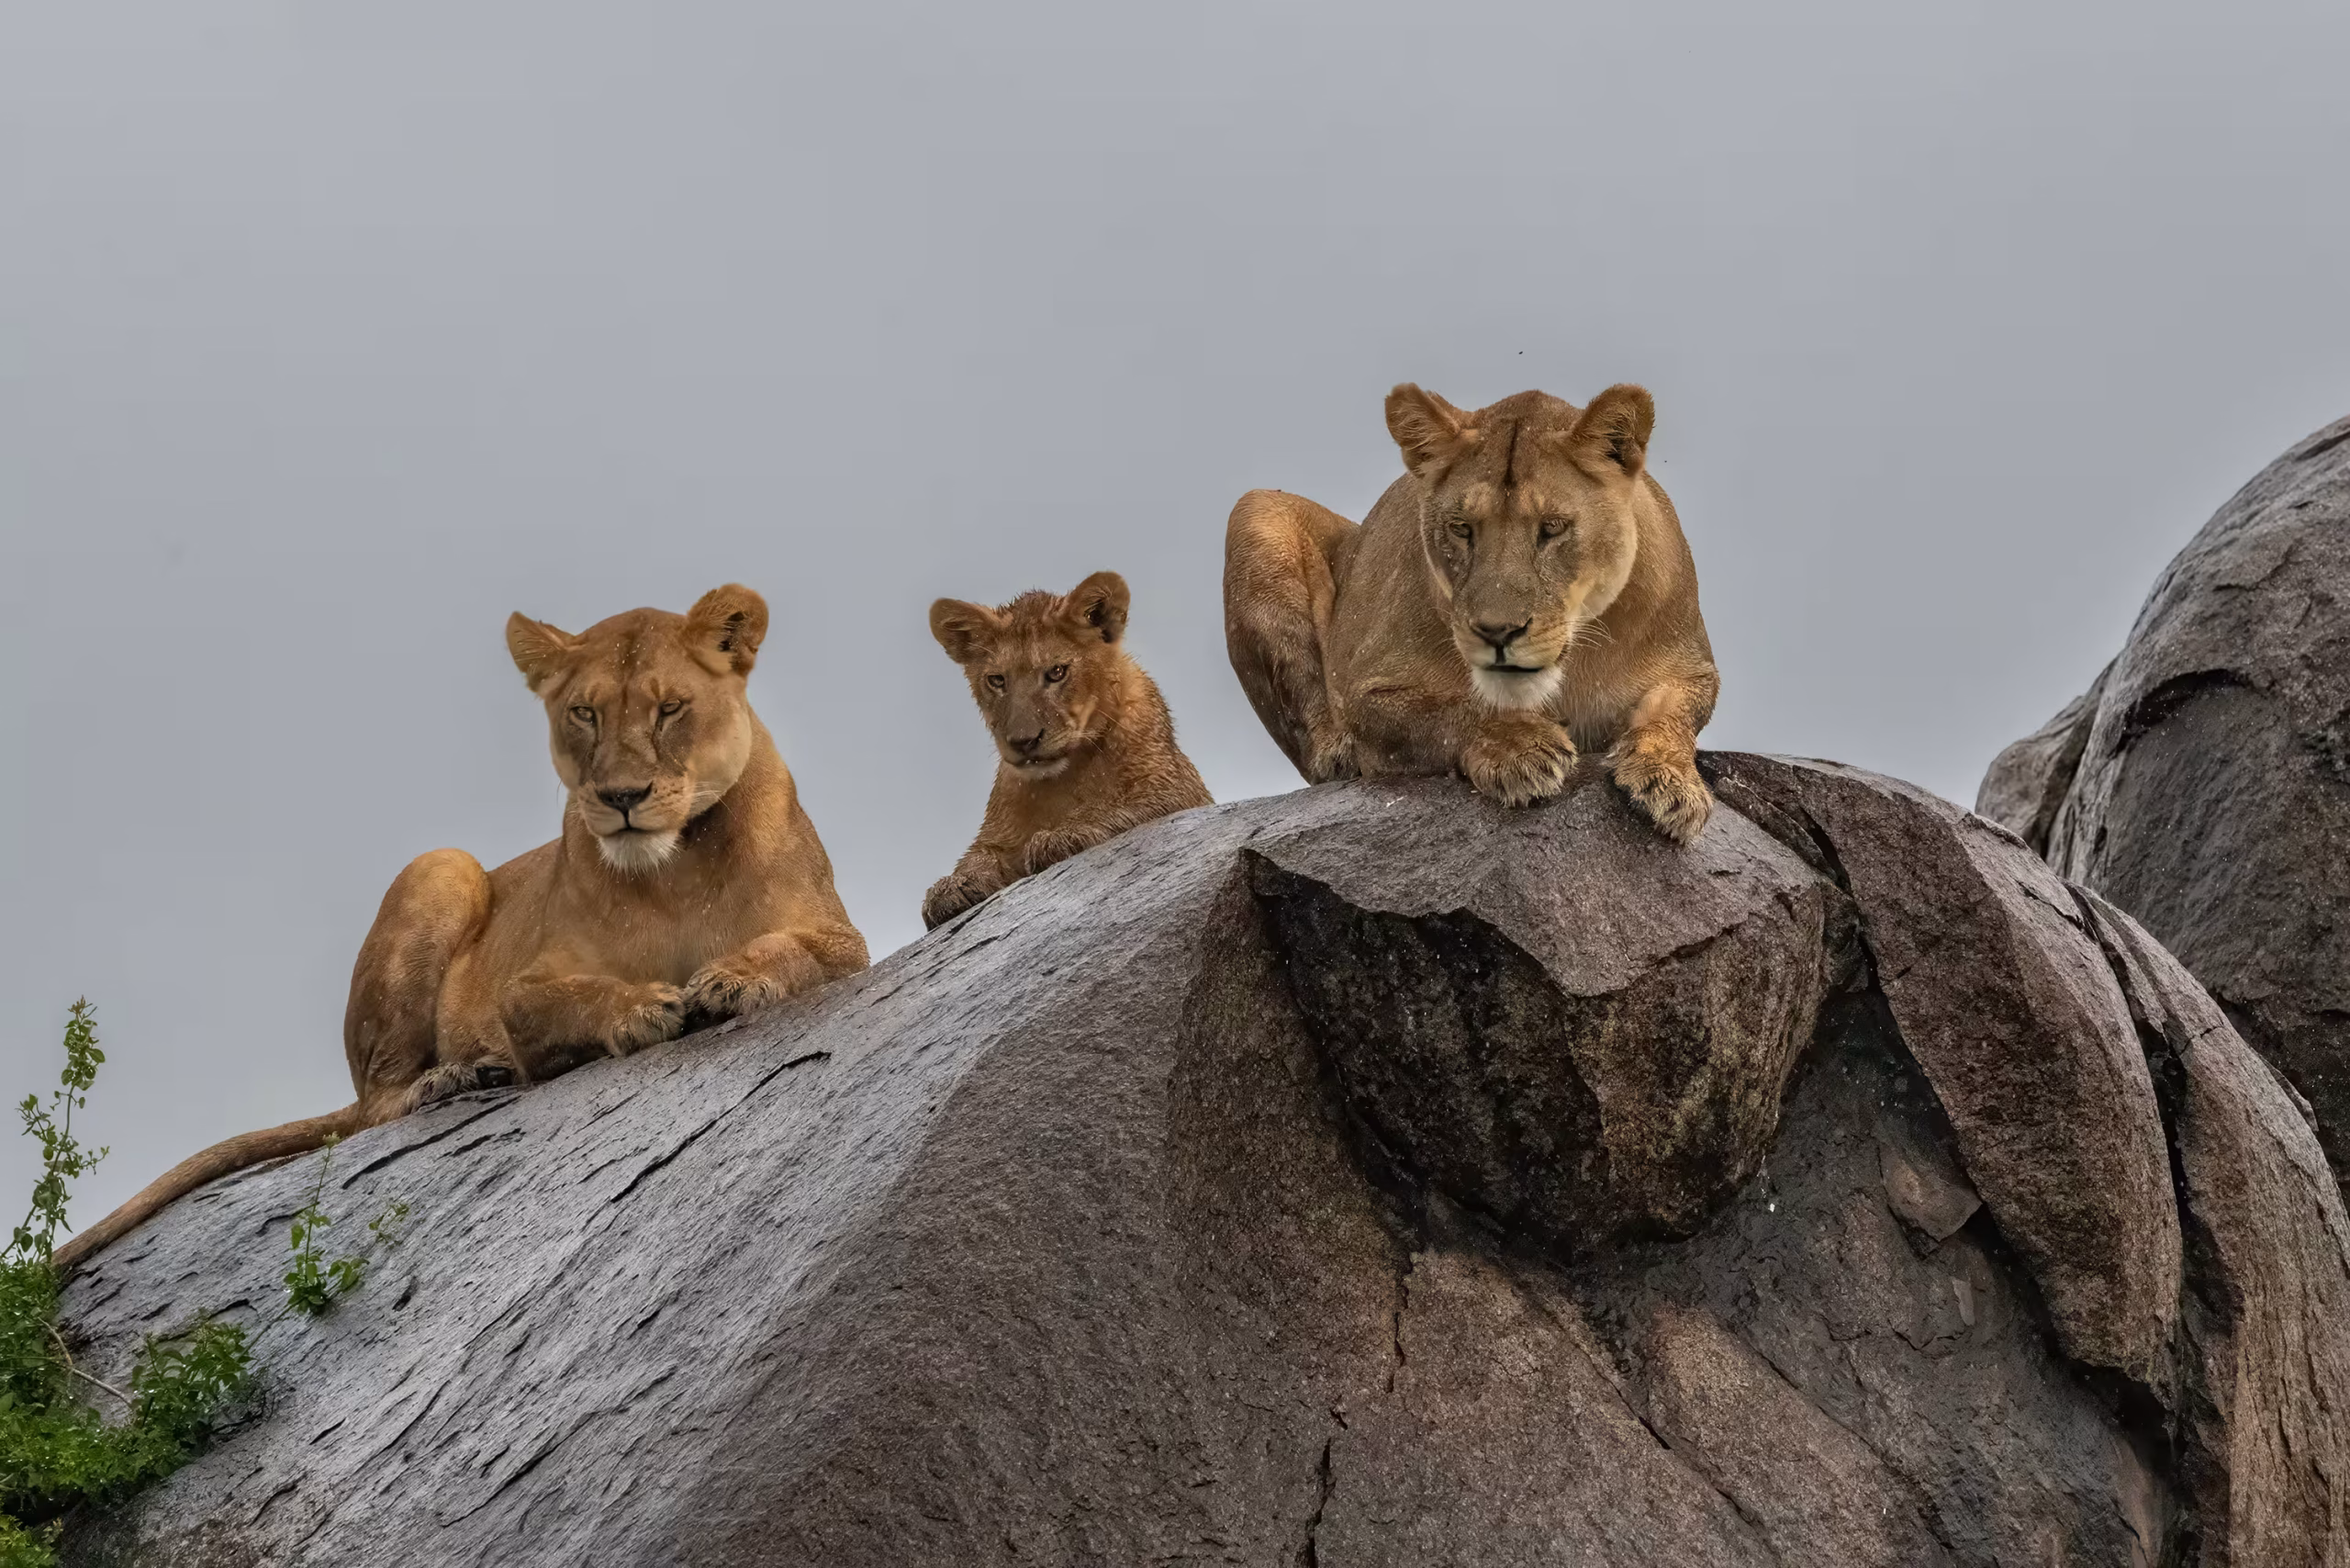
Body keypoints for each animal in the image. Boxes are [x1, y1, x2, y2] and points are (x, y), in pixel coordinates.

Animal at [55, 585, 868, 1271]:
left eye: (670, 708)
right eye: (585, 714)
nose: (622, 797)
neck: (677, 870)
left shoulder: (842, 937)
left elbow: (791, 949)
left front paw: (733, 979)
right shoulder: (525, 988)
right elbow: (572, 997)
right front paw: (642, 1009)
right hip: (443, 866)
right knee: (375, 1106)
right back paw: (456, 1078)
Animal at [921, 570, 1213, 929]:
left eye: (1057, 672)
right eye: (997, 680)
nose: (1023, 742)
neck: (1065, 776)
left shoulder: (1178, 789)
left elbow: (1121, 808)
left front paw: (1061, 836)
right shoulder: (997, 835)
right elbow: (979, 856)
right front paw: (953, 886)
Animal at [1224, 383, 1719, 841]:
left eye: (1553, 527)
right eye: (1461, 528)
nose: (1497, 632)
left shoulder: (1693, 668)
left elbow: (1673, 712)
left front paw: (1670, 782)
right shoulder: (1364, 691)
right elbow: (1443, 713)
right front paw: (1521, 748)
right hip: (1257, 507)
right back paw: (1340, 753)